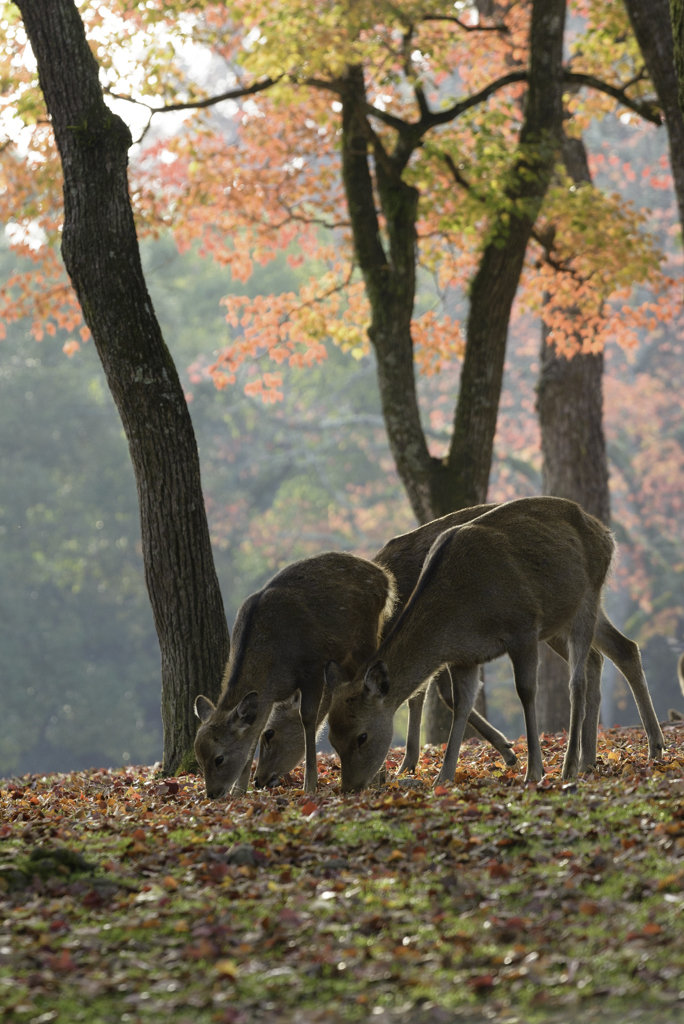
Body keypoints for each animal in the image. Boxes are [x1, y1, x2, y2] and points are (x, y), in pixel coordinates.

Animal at [192, 552, 395, 798]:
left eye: (219, 758)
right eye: (199, 759)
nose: (212, 793)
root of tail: (383, 577)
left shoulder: (312, 668)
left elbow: (307, 718)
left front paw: (310, 785)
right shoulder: (269, 697)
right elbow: (256, 728)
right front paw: (239, 791)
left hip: (366, 635)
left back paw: (377, 777)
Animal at [325, 495, 663, 790]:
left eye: (361, 736)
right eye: (331, 739)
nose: (350, 788)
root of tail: (606, 532)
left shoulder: (522, 628)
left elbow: (526, 692)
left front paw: (533, 770)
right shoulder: (464, 657)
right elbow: (461, 703)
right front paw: (444, 777)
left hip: (586, 597)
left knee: (578, 678)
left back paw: (573, 764)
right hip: (561, 618)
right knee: (617, 651)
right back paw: (611, 756)